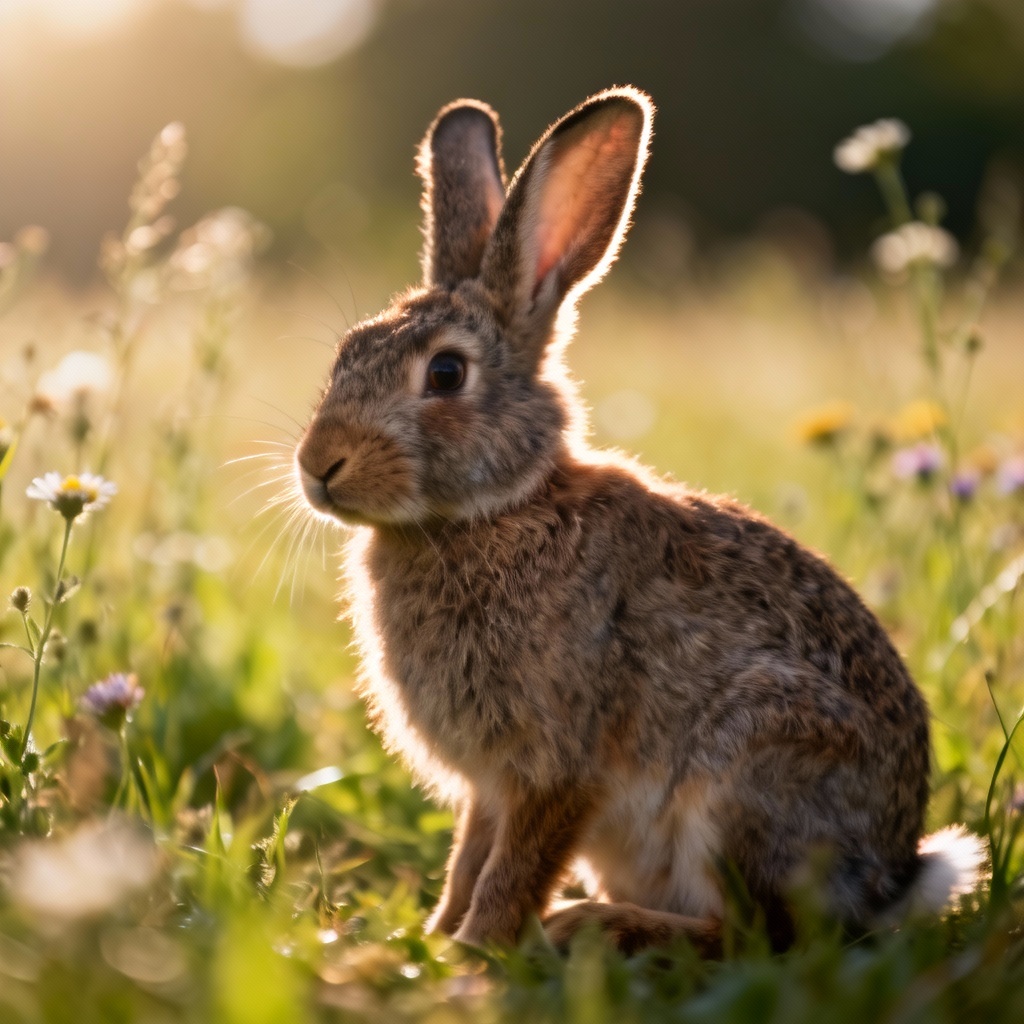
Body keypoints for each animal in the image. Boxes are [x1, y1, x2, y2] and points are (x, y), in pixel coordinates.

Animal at [294, 87, 984, 953]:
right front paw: (430, 938)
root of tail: (891, 880)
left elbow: (513, 867)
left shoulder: (559, 762)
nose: (317, 465)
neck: (495, 512)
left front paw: (473, 953)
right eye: (346, 353)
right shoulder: (493, 783)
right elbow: (470, 856)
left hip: (746, 769)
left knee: (755, 935)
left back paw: (595, 925)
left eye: (446, 374)